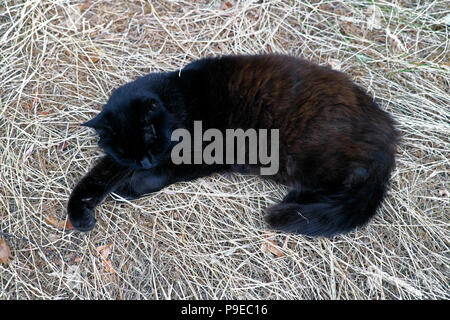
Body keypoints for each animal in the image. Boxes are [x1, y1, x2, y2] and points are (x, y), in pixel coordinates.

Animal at [67, 53, 398, 236]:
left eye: (152, 140)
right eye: (127, 151)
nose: (145, 162)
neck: (178, 99)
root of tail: (387, 131)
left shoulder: (200, 154)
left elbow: (160, 174)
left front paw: (129, 187)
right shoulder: (120, 162)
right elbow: (95, 179)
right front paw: (80, 214)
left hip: (308, 155)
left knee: (347, 183)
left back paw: (297, 201)